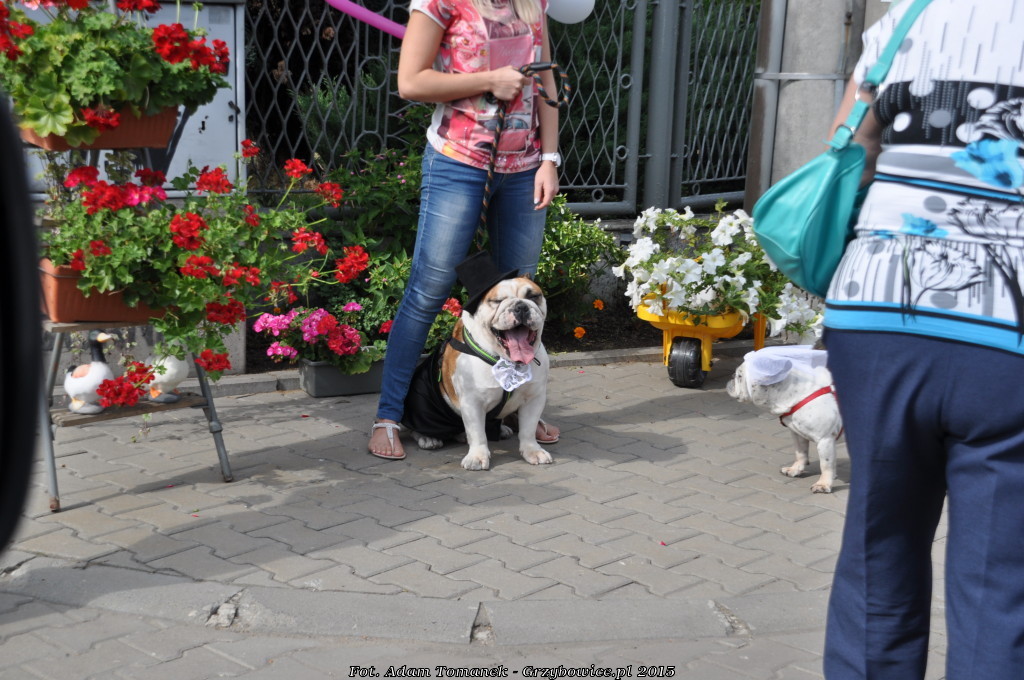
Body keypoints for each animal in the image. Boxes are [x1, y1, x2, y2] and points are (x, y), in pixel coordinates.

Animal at [402, 253, 552, 471]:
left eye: (533, 296)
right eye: (497, 301)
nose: (521, 306)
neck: (506, 360)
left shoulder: (534, 398)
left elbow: (528, 429)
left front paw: (532, 451)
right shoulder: (472, 402)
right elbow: (477, 433)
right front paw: (477, 457)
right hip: (422, 405)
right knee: (416, 428)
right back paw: (428, 438)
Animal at [726, 346, 843, 493]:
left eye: (740, 376)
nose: (731, 376)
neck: (796, 393)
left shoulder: (825, 440)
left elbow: (826, 464)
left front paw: (823, 484)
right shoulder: (798, 434)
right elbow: (800, 453)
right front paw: (795, 469)